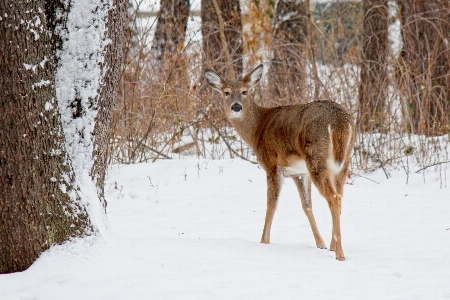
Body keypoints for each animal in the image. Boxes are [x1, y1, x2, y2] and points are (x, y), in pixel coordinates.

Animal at [204, 63, 356, 260]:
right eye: (226, 92)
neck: (257, 130)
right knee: (339, 195)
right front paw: (320, 244)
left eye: (245, 91)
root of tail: (339, 121)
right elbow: (306, 205)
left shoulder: (272, 164)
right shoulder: (297, 171)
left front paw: (263, 241)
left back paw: (340, 254)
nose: (236, 107)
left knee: (334, 197)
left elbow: (271, 204)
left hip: (316, 156)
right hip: (343, 161)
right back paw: (333, 246)